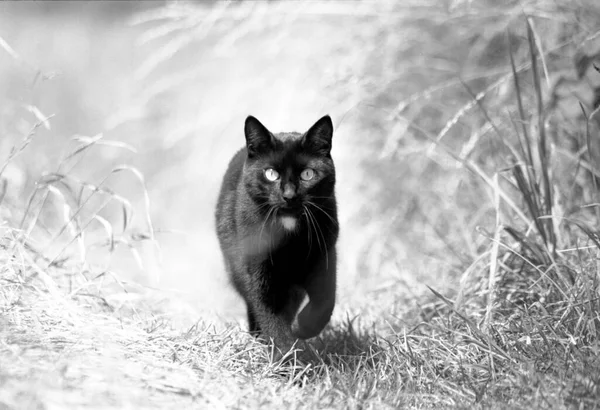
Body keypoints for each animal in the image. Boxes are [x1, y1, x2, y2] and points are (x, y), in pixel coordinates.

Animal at [214, 115, 338, 352]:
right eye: (271, 174)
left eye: (307, 174)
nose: (289, 195)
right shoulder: (259, 271)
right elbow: (269, 314)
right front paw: (286, 355)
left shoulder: (324, 256)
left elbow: (325, 300)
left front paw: (302, 328)